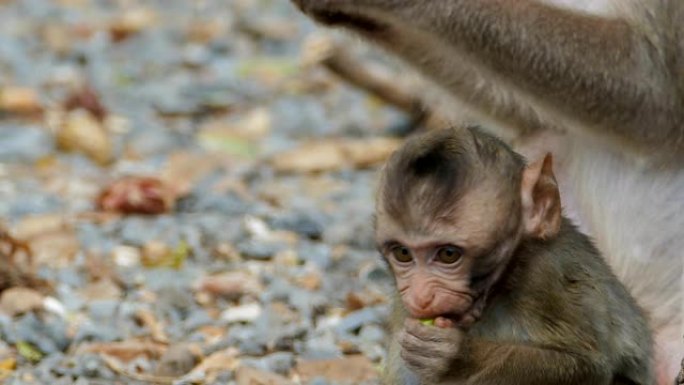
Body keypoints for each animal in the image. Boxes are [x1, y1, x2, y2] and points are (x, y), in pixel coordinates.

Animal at [376, 127, 656, 382]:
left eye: (448, 255)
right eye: (403, 253)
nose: (421, 297)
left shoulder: (545, 278)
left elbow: (588, 366)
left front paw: (455, 356)